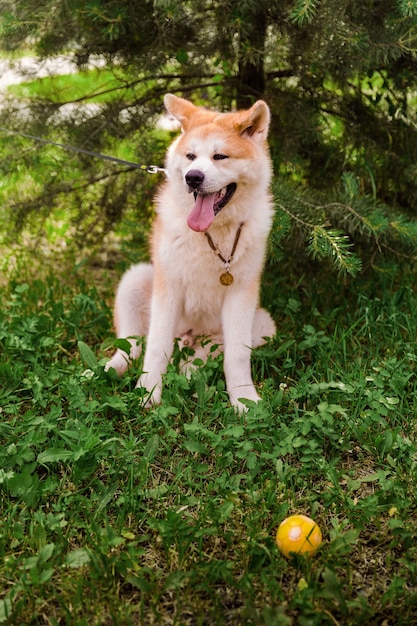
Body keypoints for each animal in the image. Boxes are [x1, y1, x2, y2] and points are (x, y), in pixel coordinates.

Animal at [106, 90, 276, 408]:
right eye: (190, 156)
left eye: (220, 156)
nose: (193, 177)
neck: (212, 234)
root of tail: (188, 337)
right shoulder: (168, 289)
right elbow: (155, 346)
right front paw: (148, 391)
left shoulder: (241, 294)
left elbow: (237, 355)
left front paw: (244, 398)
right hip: (136, 280)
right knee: (133, 345)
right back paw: (109, 368)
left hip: (262, 325)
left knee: (208, 355)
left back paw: (192, 370)